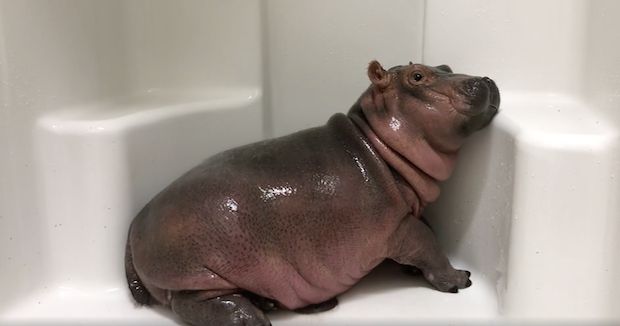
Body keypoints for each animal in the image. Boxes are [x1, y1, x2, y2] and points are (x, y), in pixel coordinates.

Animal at [124, 59, 498, 324]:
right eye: (417, 77)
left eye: (445, 65)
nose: (487, 79)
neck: (376, 145)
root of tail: (137, 221)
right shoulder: (398, 228)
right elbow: (428, 244)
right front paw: (459, 279)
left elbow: (429, 231)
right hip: (195, 270)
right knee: (188, 302)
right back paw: (249, 317)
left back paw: (273, 302)